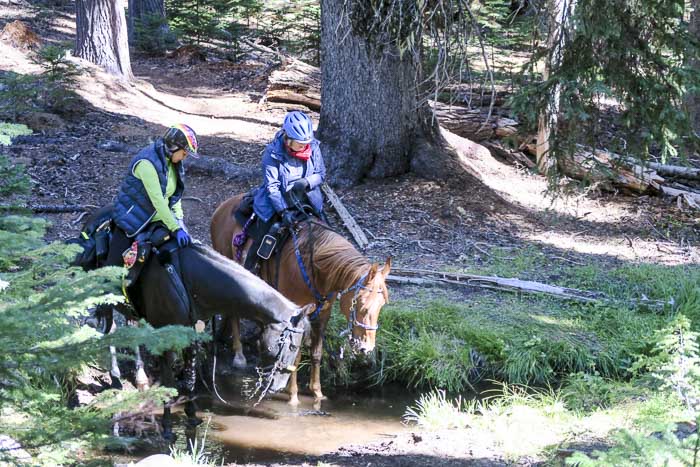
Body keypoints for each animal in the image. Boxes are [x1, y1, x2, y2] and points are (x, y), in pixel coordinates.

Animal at [211, 194, 392, 406]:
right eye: (361, 305)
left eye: (381, 305)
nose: (366, 348)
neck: (317, 269)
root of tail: (222, 208)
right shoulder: (296, 314)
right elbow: (295, 357)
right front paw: (293, 396)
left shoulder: (323, 315)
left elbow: (316, 353)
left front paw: (317, 393)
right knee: (233, 314)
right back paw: (239, 356)